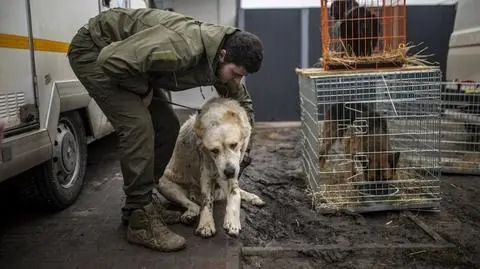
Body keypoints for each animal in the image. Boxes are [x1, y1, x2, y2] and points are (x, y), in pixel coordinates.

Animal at [157, 96, 262, 237]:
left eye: (234, 145)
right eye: (214, 150)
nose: (229, 172)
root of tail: (193, 194)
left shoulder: (230, 170)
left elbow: (235, 193)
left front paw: (232, 221)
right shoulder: (208, 172)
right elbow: (207, 201)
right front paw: (206, 224)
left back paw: (252, 197)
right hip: (164, 183)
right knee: (195, 205)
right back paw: (190, 214)